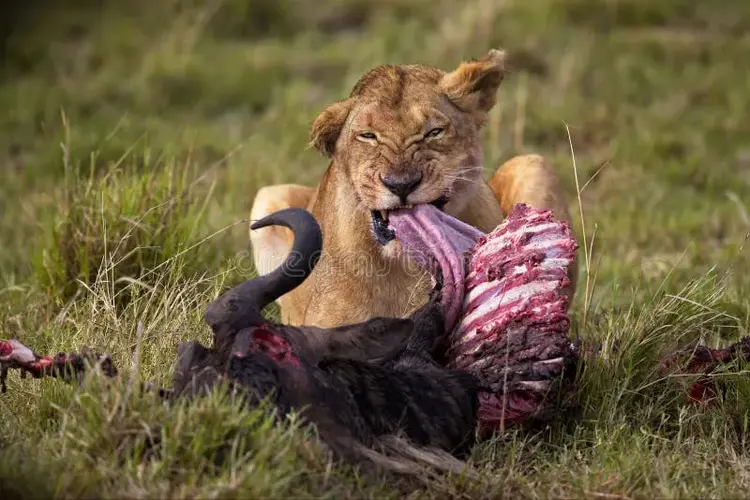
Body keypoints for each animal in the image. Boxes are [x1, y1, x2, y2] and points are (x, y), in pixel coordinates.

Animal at [249, 49, 576, 328]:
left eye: (434, 132)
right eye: (368, 136)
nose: (401, 184)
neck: (407, 266)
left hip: (533, 164)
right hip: (269, 197)